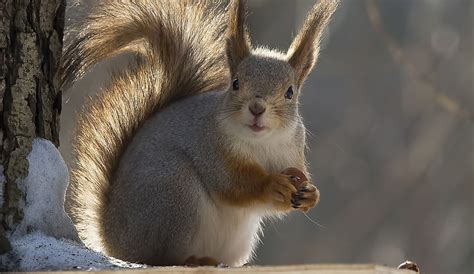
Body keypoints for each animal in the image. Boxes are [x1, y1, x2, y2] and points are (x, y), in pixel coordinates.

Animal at [62, 0, 336, 266]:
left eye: (290, 92)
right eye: (236, 83)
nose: (257, 108)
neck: (261, 143)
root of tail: (111, 238)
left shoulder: (291, 154)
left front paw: (311, 195)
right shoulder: (210, 147)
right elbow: (232, 184)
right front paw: (271, 184)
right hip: (173, 190)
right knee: (158, 257)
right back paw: (193, 259)